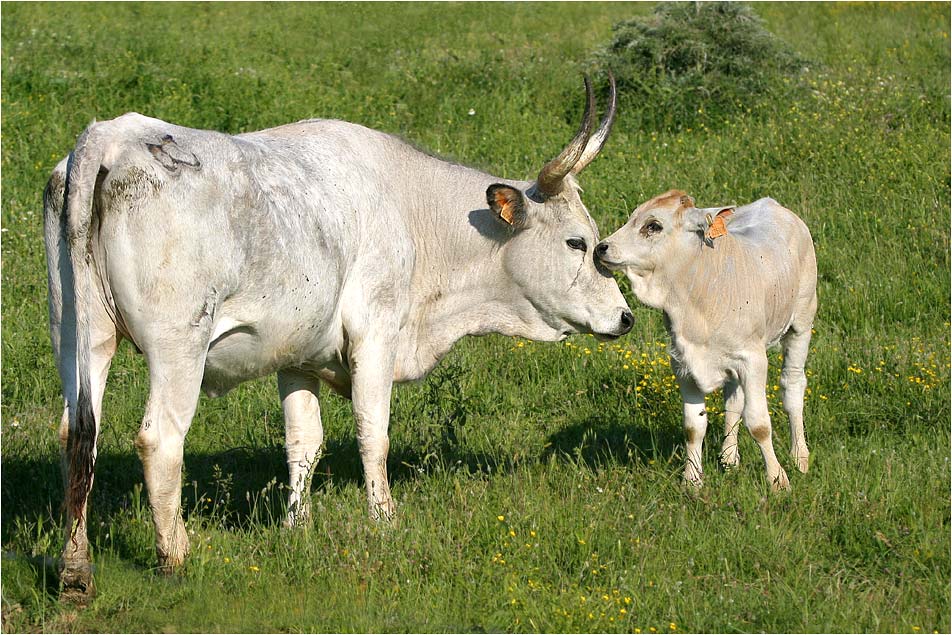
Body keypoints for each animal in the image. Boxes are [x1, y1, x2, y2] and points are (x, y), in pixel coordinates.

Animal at [48, 77, 636, 600]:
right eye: (577, 242)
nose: (626, 317)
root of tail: (115, 134)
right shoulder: (376, 334)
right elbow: (373, 433)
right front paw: (385, 520)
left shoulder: (297, 355)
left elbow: (303, 442)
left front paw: (296, 527)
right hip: (179, 344)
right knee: (159, 440)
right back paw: (176, 556)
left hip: (78, 334)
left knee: (78, 435)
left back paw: (75, 570)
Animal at [596, 191, 820, 494]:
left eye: (653, 225)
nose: (602, 247)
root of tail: (773, 204)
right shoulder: (683, 364)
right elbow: (694, 426)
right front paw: (691, 479)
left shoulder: (753, 360)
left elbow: (759, 424)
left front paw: (777, 479)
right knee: (734, 400)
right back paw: (728, 457)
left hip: (802, 321)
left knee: (792, 385)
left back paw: (799, 458)